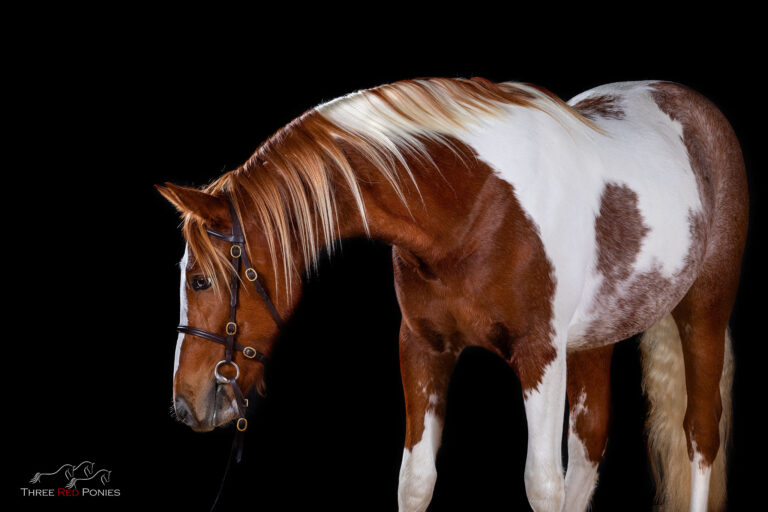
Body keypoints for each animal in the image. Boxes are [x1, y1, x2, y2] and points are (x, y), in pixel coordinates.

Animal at [159, 77, 748, 512]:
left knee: (700, 435)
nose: (186, 405)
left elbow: (541, 483)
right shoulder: (423, 348)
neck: (474, 204)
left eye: (200, 279)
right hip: (595, 338)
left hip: (704, 312)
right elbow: (415, 480)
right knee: (590, 443)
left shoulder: (541, 355)